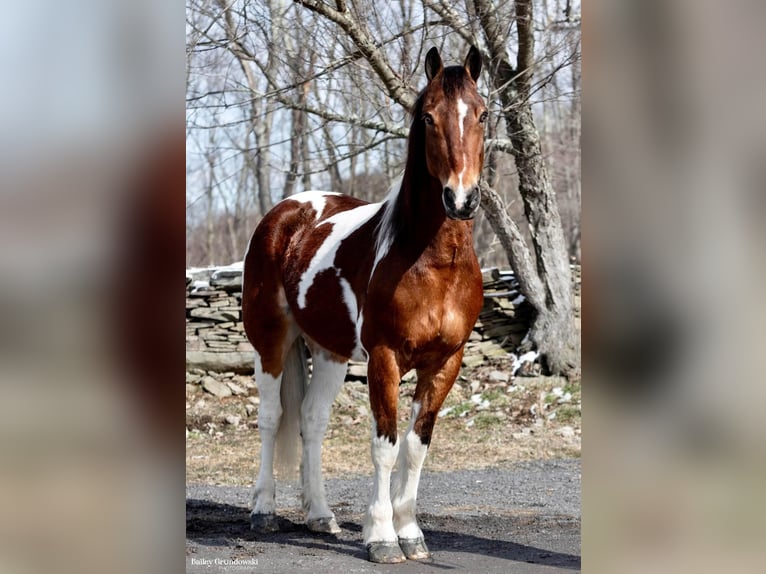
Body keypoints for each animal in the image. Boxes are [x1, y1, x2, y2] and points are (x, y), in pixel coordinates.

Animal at [243, 46, 488, 568]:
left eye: (482, 114)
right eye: (429, 117)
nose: (461, 199)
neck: (432, 262)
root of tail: (286, 212)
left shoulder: (445, 363)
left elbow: (415, 447)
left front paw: (411, 533)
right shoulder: (385, 358)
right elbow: (385, 446)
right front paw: (381, 537)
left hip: (331, 352)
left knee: (311, 422)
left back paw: (320, 516)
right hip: (270, 341)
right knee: (271, 418)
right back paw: (263, 511)